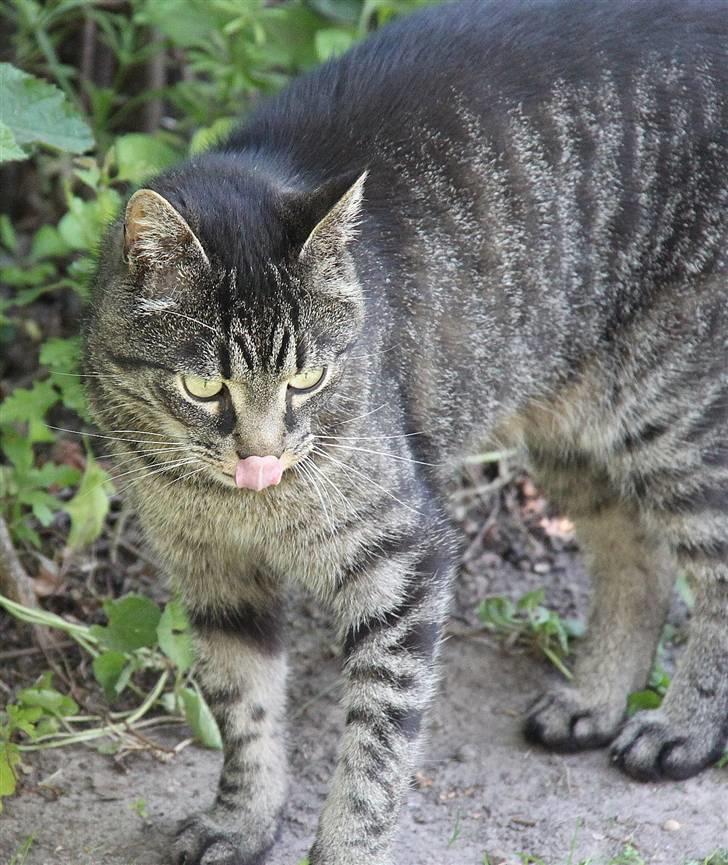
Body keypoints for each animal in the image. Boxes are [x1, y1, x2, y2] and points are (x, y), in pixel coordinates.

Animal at [82, 0, 724, 860]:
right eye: (204, 386)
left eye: (308, 378)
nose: (260, 458)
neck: (239, 506)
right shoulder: (212, 570)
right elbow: (245, 708)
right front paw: (242, 819)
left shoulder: (404, 558)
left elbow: (376, 748)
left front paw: (346, 844)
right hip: (574, 415)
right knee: (637, 558)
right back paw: (593, 698)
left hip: (674, 408)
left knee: (713, 568)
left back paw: (684, 727)